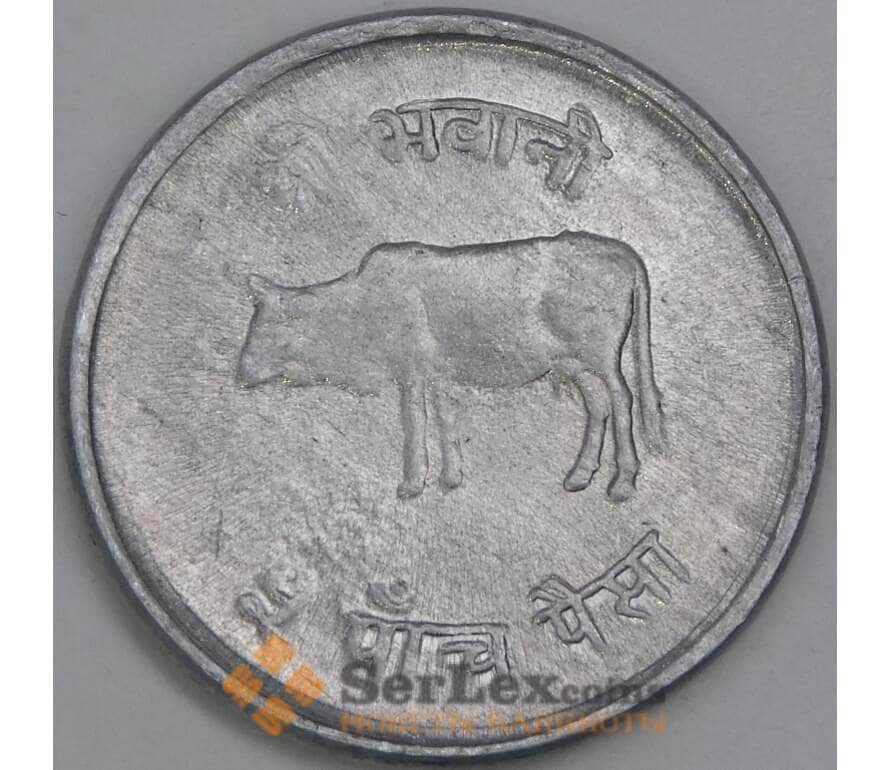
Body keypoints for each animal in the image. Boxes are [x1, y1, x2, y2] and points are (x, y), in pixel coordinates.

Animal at [237, 230, 665, 502]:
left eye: (267, 327)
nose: (240, 372)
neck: (362, 303)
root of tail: (623, 253)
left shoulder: (411, 373)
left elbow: (415, 422)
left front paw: (412, 484)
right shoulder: (440, 376)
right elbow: (447, 420)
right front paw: (452, 476)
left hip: (601, 358)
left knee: (622, 399)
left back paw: (623, 482)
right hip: (575, 365)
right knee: (598, 406)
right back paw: (579, 474)